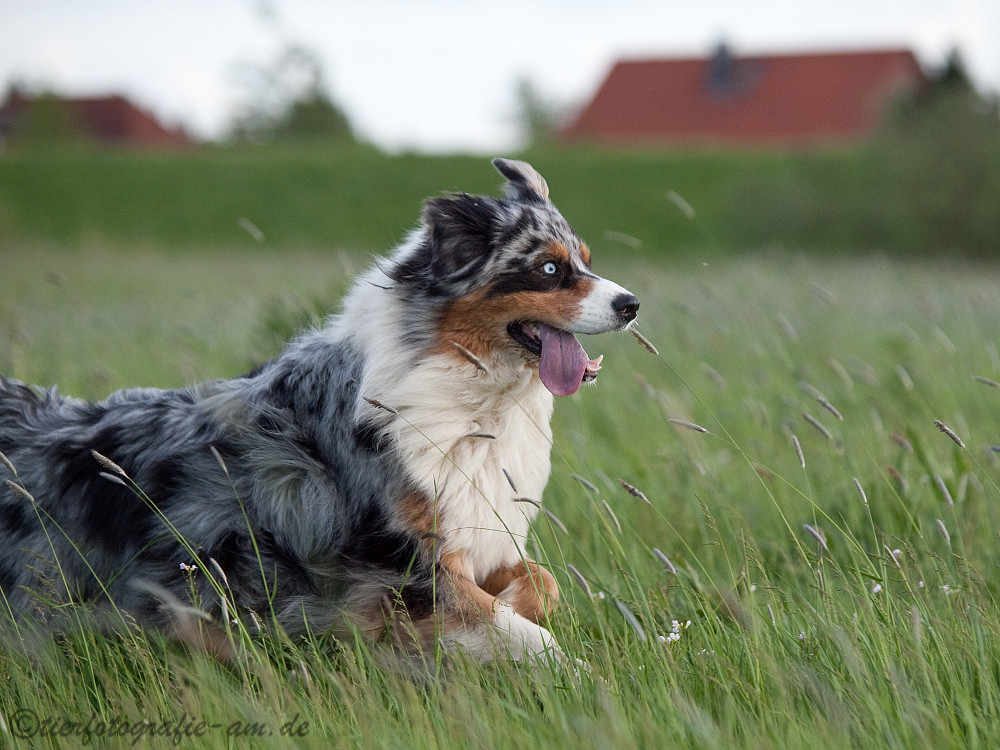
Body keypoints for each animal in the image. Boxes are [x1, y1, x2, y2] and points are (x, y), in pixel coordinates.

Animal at [0, 159, 640, 664]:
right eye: (550, 269)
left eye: (586, 261)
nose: (631, 304)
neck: (468, 396)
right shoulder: (399, 573)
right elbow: (521, 631)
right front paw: (581, 674)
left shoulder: (482, 538)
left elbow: (541, 582)